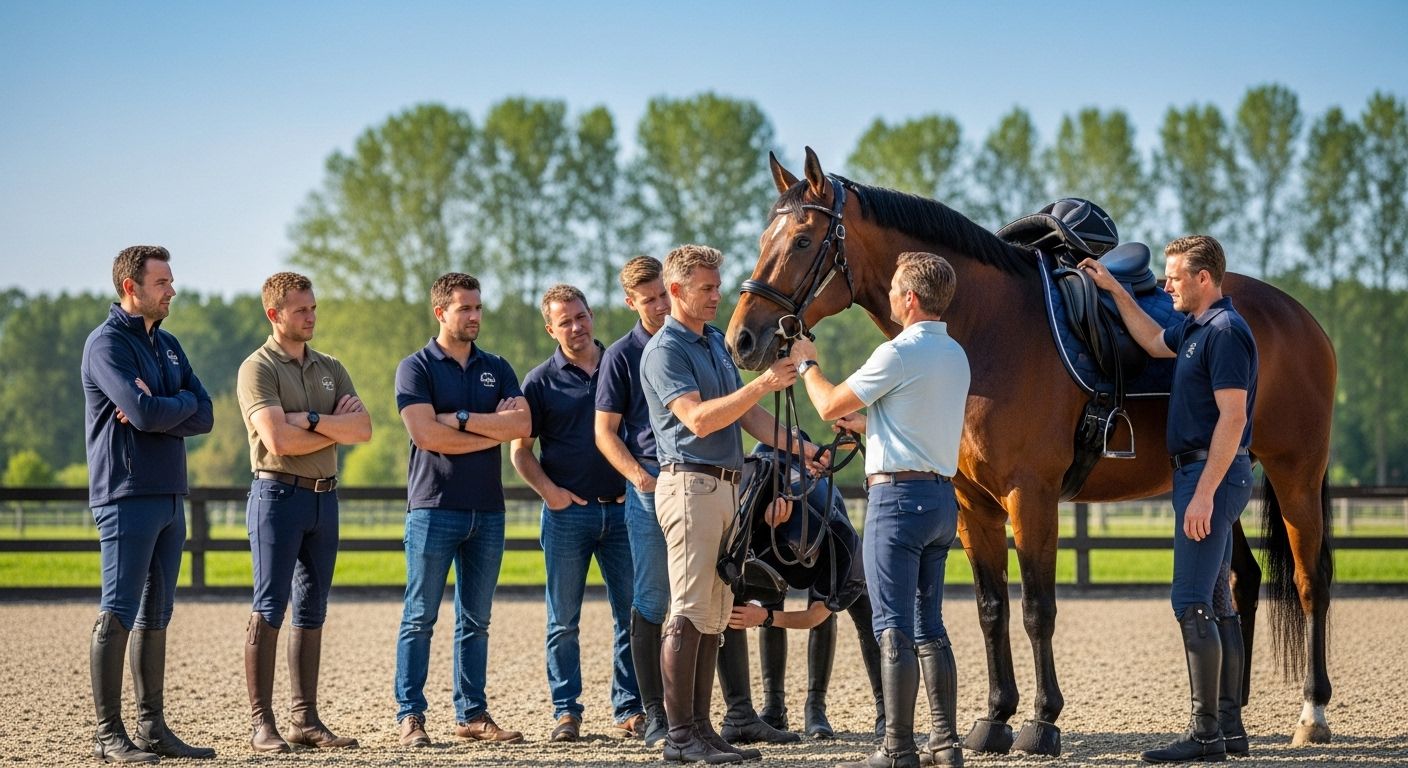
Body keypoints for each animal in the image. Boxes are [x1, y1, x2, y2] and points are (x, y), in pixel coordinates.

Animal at [725, 148, 1336, 755]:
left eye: (804, 240)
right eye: (763, 237)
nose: (743, 340)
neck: (987, 329)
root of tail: (1299, 316)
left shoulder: (1031, 497)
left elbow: (1038, 610)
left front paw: (1042, 722)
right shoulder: (972, 505)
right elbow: (991, 609)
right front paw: (995, 717)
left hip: (1295, 473)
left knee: (1311, 582)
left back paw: (1312, 713)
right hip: (1213, 488)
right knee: (1239, 583)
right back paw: (1229, 724)